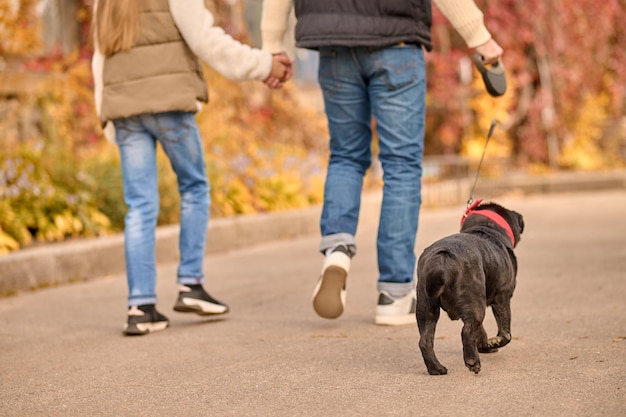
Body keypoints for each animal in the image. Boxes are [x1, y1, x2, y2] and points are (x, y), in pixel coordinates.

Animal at [416, 199, 524, 374]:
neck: (485, 229)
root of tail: (442, 259)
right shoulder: (503, 297)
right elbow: (506, 333)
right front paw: (494, 342)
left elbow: (480, 331)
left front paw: (486, 345)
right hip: (475, 303)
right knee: (466, 332)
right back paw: (472, 361)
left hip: (426, 308)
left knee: (425, 341)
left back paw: (436, 368)